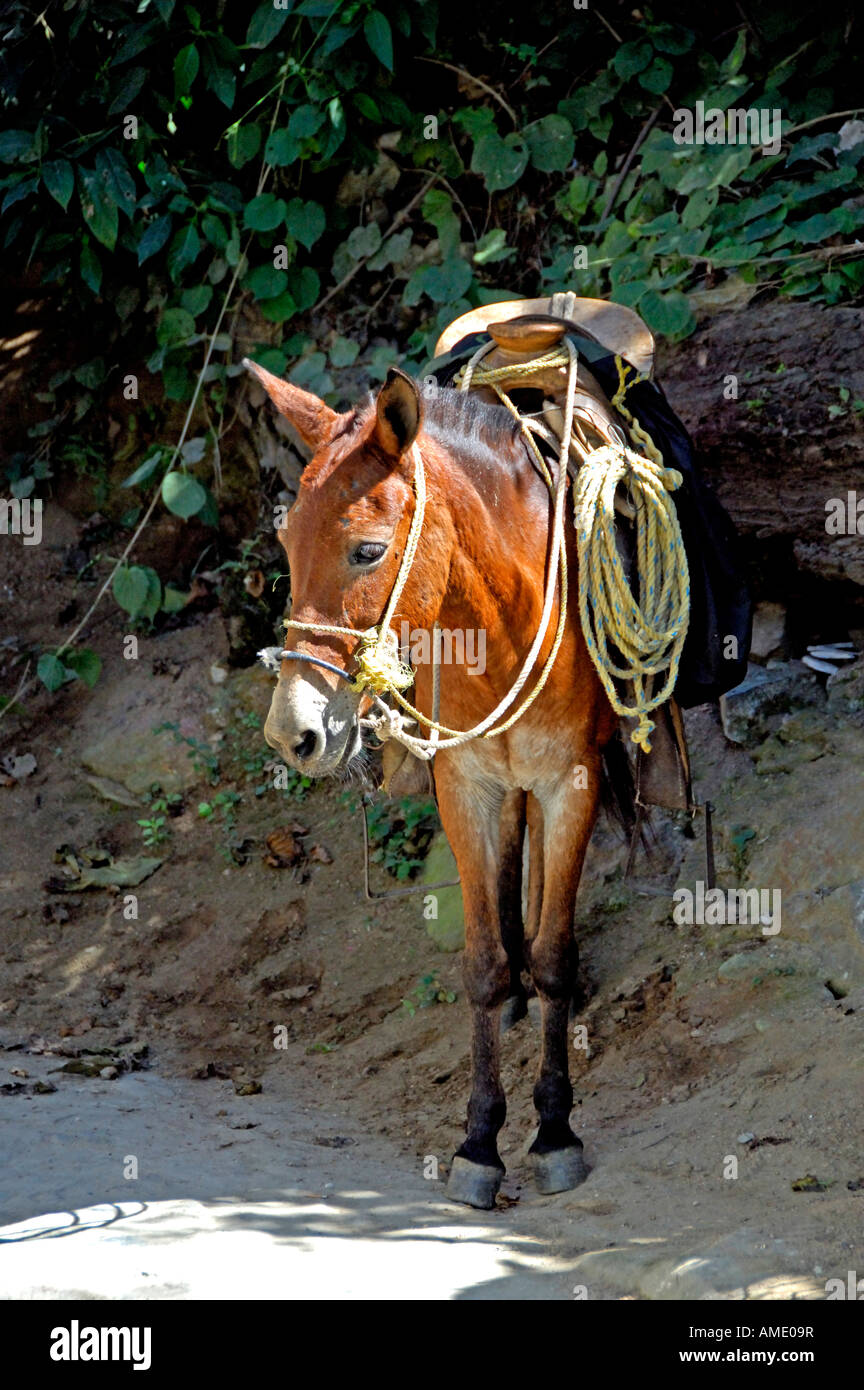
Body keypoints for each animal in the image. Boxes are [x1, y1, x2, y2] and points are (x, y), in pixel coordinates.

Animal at [248, 358, 630, 1206]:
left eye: (366, 551)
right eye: (285, 543)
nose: (293, 734)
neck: (505, 624)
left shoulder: (572, 782)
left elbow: (557, 955)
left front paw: (555, 1131)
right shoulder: (466, 785)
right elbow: (482, 964)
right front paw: (480, 1141)